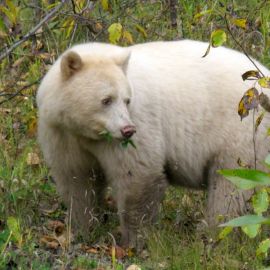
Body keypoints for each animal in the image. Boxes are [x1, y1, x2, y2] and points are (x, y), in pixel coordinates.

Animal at [36, 39, 270, 247]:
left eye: (126, 99)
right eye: (106, 100)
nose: (127, 130)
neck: (88, 133)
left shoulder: (139, 124)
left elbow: (136, 175)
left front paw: (134, 241)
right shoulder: (62, 134)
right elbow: (77, 179)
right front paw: (84, 228)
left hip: (241, 132)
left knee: (230, 189)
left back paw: (213, 234)